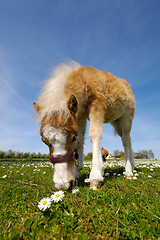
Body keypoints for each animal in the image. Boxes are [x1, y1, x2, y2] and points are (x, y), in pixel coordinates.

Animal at [33, 61, 135, 190]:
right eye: (44, 141)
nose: (61, 185)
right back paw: (133, 165)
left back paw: (128, 171)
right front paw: (77, 172)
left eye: (73, 137)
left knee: (126, 140)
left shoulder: (97, 104)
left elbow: (94, 134)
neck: (84, 80)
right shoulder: (80, 115)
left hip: (126, 117)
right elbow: (81, 140)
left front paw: (95, 177)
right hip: (115, 121)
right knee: (128, 139)